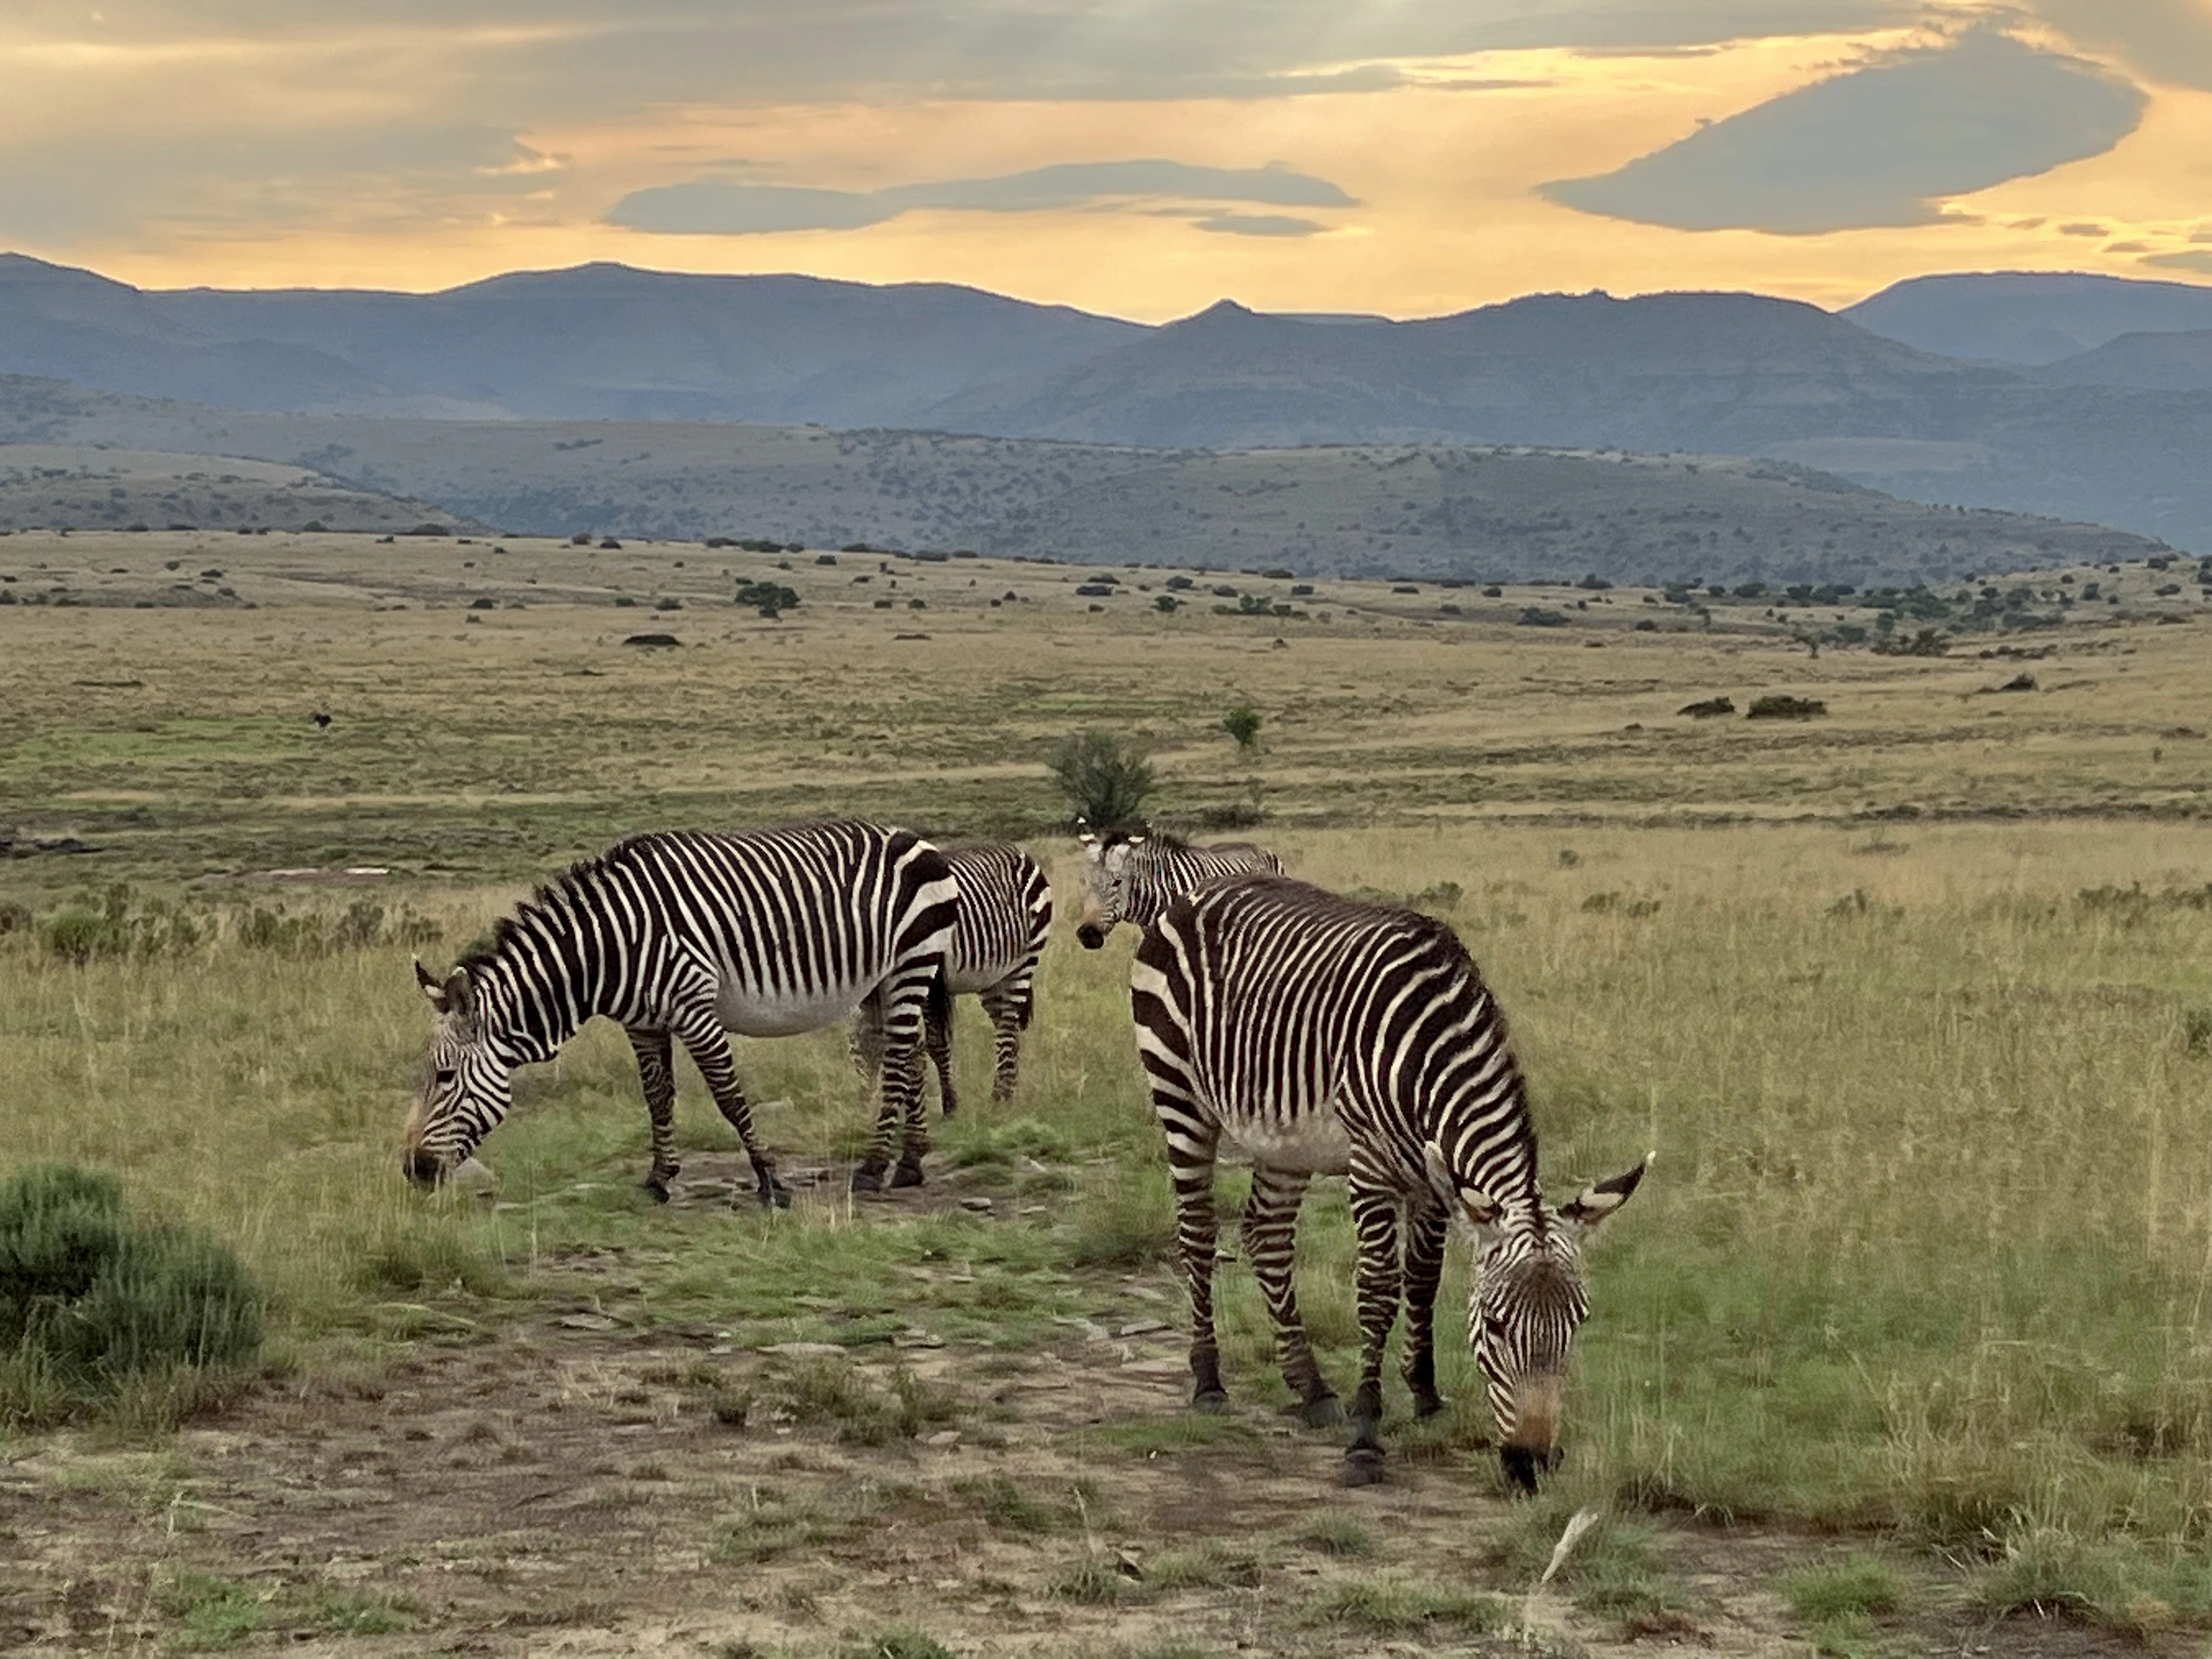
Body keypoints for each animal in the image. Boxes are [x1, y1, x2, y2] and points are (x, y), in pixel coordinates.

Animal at [402, 821, 959, 1204]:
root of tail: (917, 839)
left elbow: (729, 1097)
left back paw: (874, 1167)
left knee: (902, 1060)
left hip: (912, 963)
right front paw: (658, 1177)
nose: (414, 1170)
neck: (609, 949)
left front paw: (769, 1179)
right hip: (884, 980)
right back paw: (911, 1163)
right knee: (910, 1056)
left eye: (445, 1077)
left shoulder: (695, 1009)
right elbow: (657, 1097)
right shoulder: (643, 1023)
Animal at [851, 842, 1053, 1118]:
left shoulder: (931, 981)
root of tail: (1019, 852)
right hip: (992, 978)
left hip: (1025, 961)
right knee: (1006, 1025)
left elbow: (936, 1043)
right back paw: (1009, 1091)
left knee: (1008, 1027)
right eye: (854, 1051)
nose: (865, 1109)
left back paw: (999, 1096)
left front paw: (950, 1105)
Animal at [1129, 874, 1647, 1490]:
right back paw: (1209, 1382)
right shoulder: (1372, 1168)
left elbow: (1422, 1282)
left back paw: (1312, 1389)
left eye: (1577, 1325)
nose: (1531, 1466)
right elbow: (1378, 1293)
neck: (1431, 1049)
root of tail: (1202, 890)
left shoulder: (1434, 1179)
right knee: (1198, 1233)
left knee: (1268, 1236)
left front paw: (1426, 1398)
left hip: (1284, 1135)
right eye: (1496, 1326)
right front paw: (1366, 1436)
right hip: (1179, 1095)